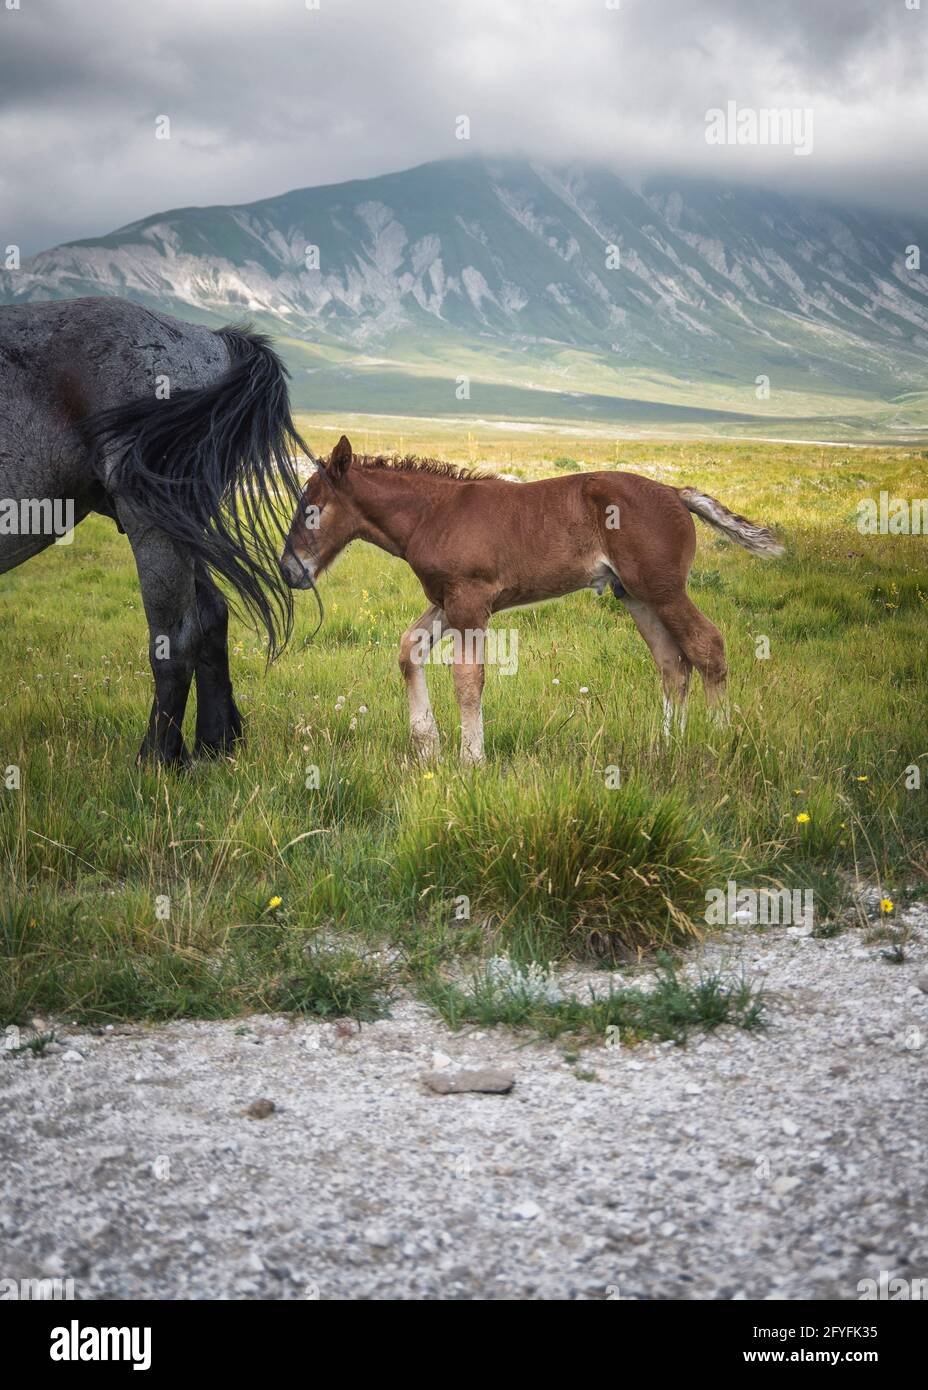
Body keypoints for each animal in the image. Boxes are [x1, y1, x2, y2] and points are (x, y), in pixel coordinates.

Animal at [0, 297, 305, 767]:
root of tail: (209, 338)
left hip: (151, 520)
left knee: (176, 637)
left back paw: (158, 760)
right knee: (212, 615)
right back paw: (215, 743)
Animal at [280, 433, 783, 761]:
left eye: (311, 509)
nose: (288, 570)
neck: (432, 514)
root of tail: (677, 492)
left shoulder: (470, 603)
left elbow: (468, 680)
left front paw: (471, 761)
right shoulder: (447, 600)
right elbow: (409, 650)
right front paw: (428, 748)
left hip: (664, 590)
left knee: (706, 647)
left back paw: (717, 743)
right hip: (636, 595)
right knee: (672, 664)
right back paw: (667, 747)